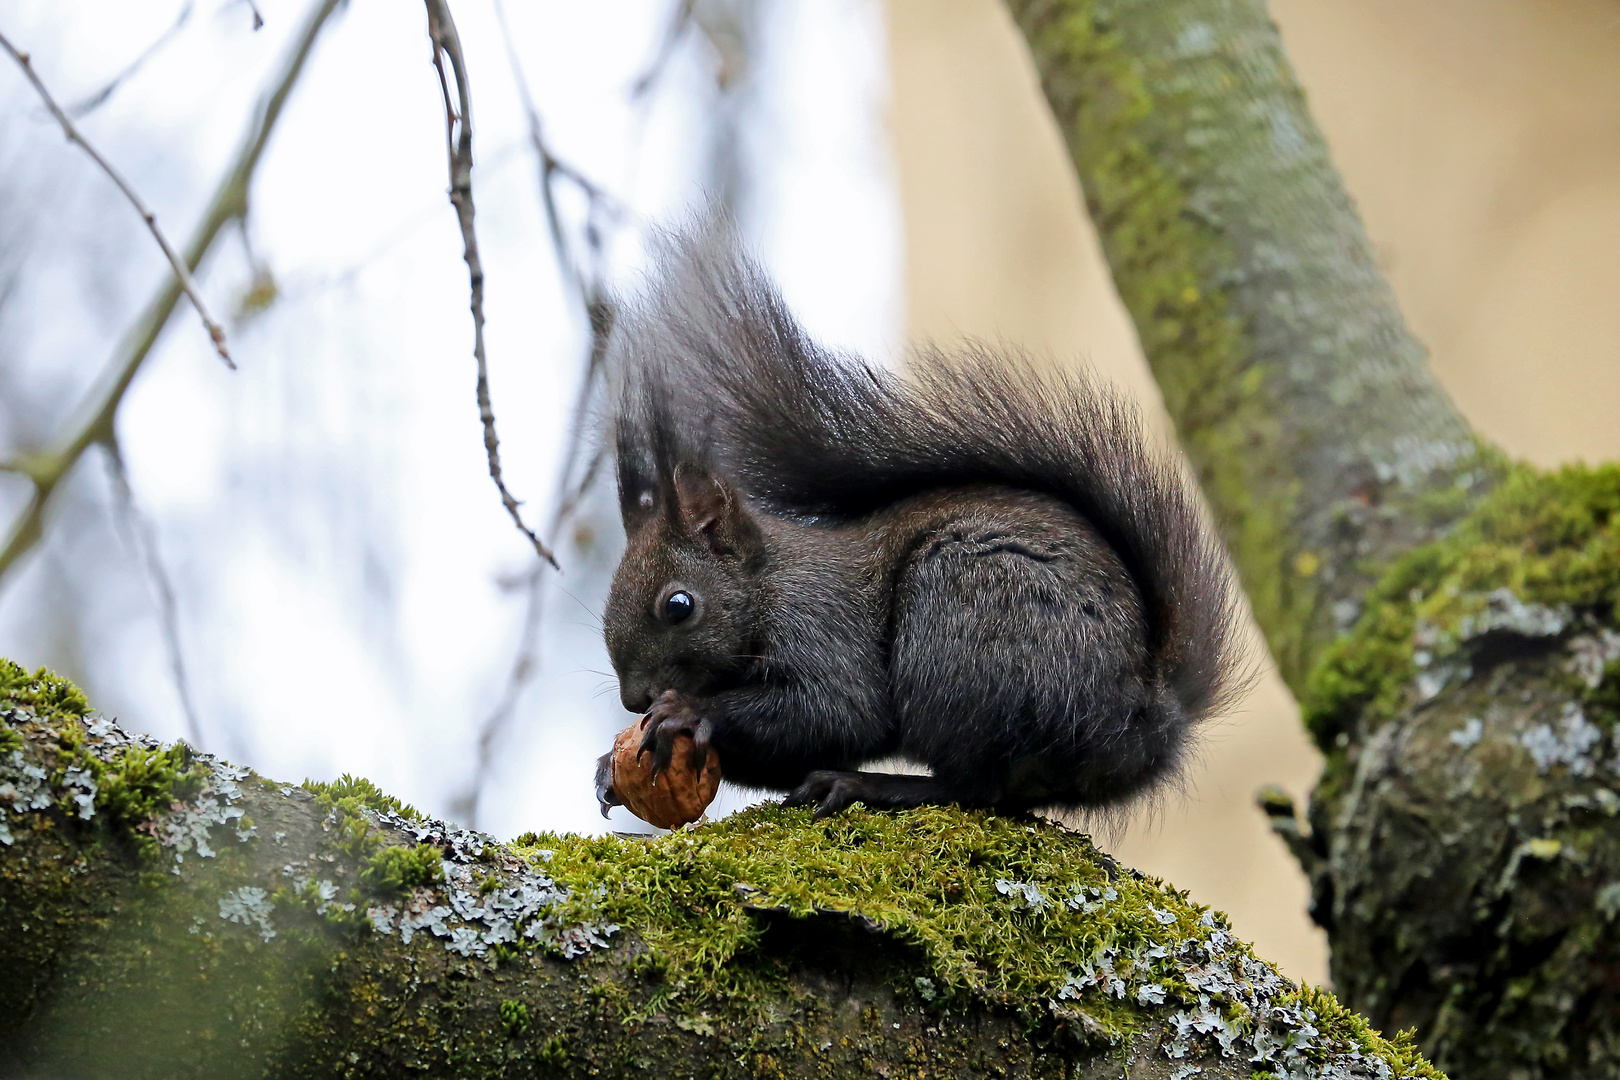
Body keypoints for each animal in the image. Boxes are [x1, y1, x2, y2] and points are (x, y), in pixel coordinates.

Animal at [592, 228, 1237, 819]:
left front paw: (689, 711)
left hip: (961, 626)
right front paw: (609, 767)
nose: (634, 700)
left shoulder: (823, 627)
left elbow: (839, 710)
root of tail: (1142, 723)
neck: (768, 584)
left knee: (974, 788)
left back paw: (874, 785)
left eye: (679, 605)